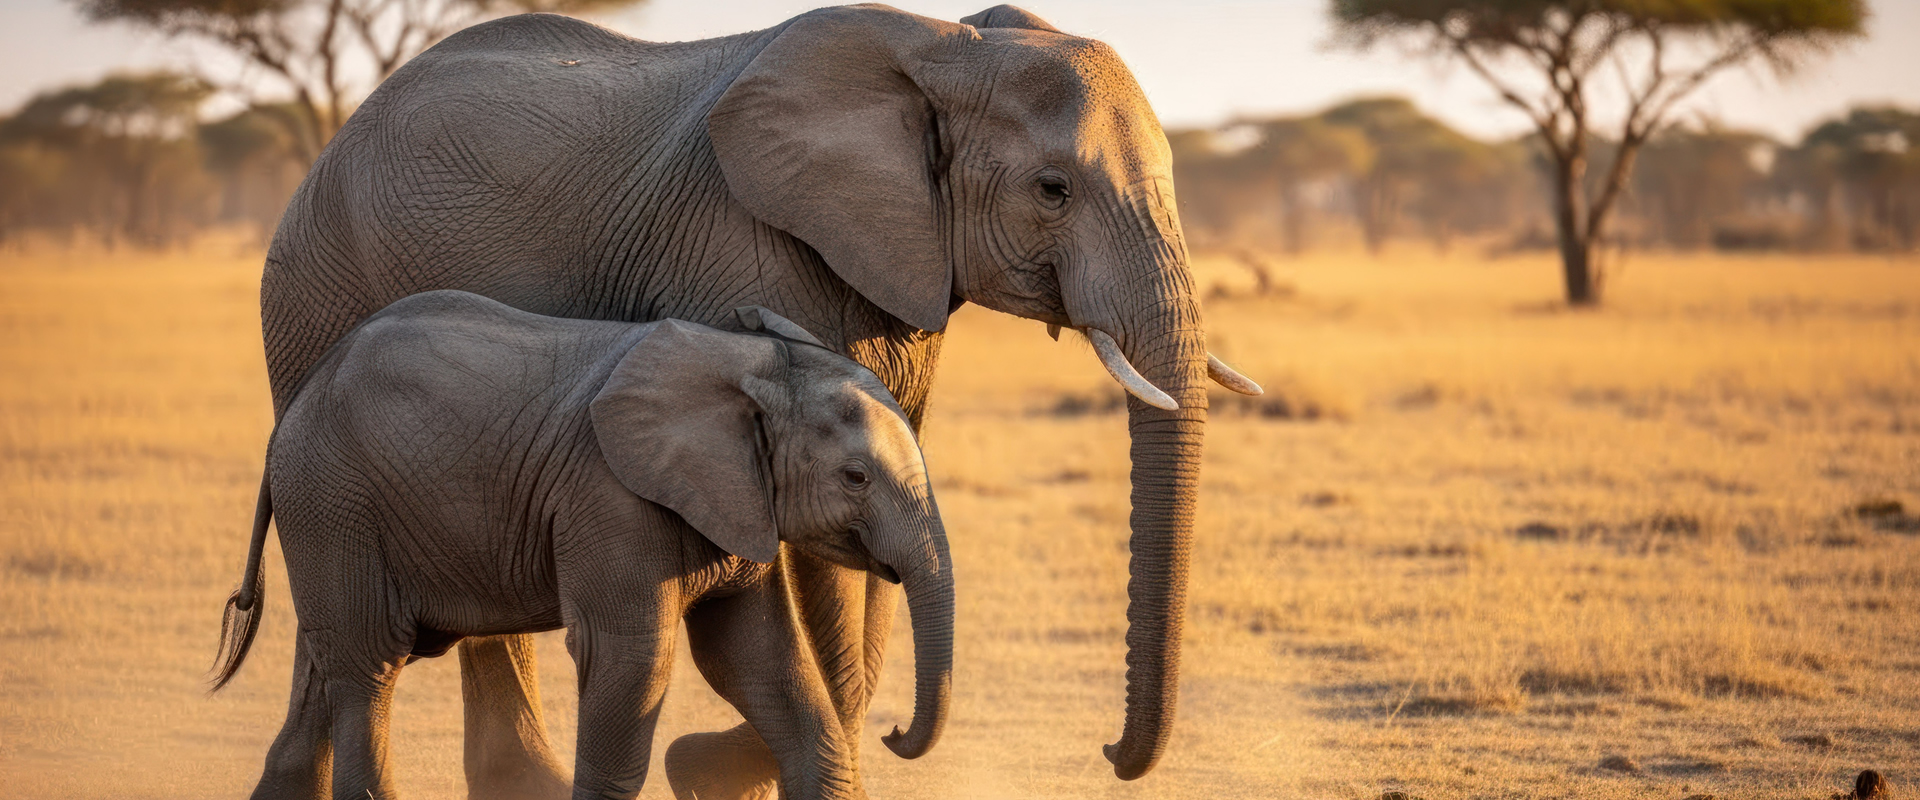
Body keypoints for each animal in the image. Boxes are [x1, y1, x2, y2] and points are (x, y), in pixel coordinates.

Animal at [211, 292, 954, 800]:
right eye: (855, 478)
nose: (894, 734)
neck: (752, 361)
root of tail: (294, 409)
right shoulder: (612, 500)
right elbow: (632, 663)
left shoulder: (737, 503)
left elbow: (759, 660)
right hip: (332, 500)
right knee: (369, 663)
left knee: (337, 662)